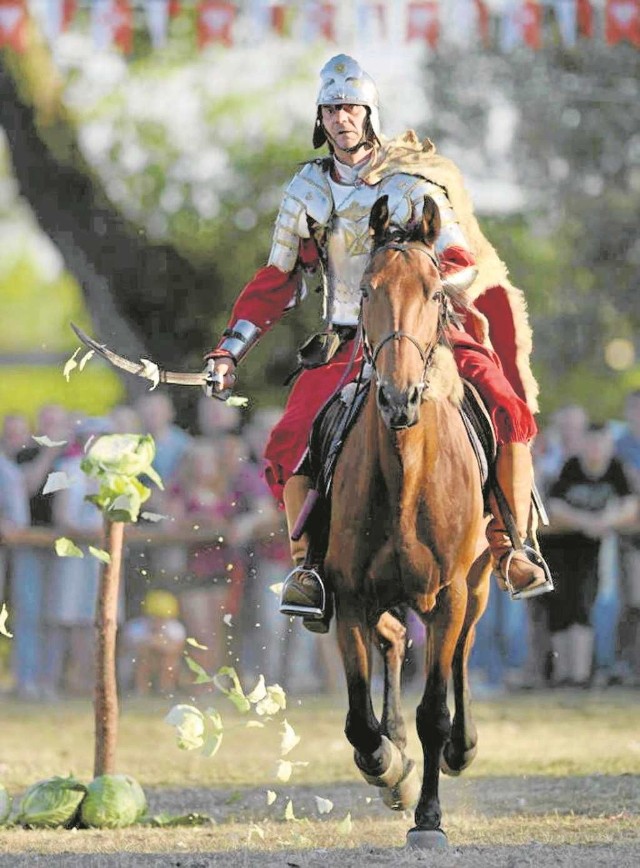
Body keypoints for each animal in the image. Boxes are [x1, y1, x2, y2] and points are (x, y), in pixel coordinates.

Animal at [328, 195, 492, 848]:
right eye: (367, 290)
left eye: (433, 291)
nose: (399, 399)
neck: (406, 479)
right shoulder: (348, 594)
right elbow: (358, 722)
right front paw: (390, 767)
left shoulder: (448, 594)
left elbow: (435, 710)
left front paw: (429, 818)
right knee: (394, 642)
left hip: (477, 583)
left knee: (465, 650)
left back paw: (461, 747)